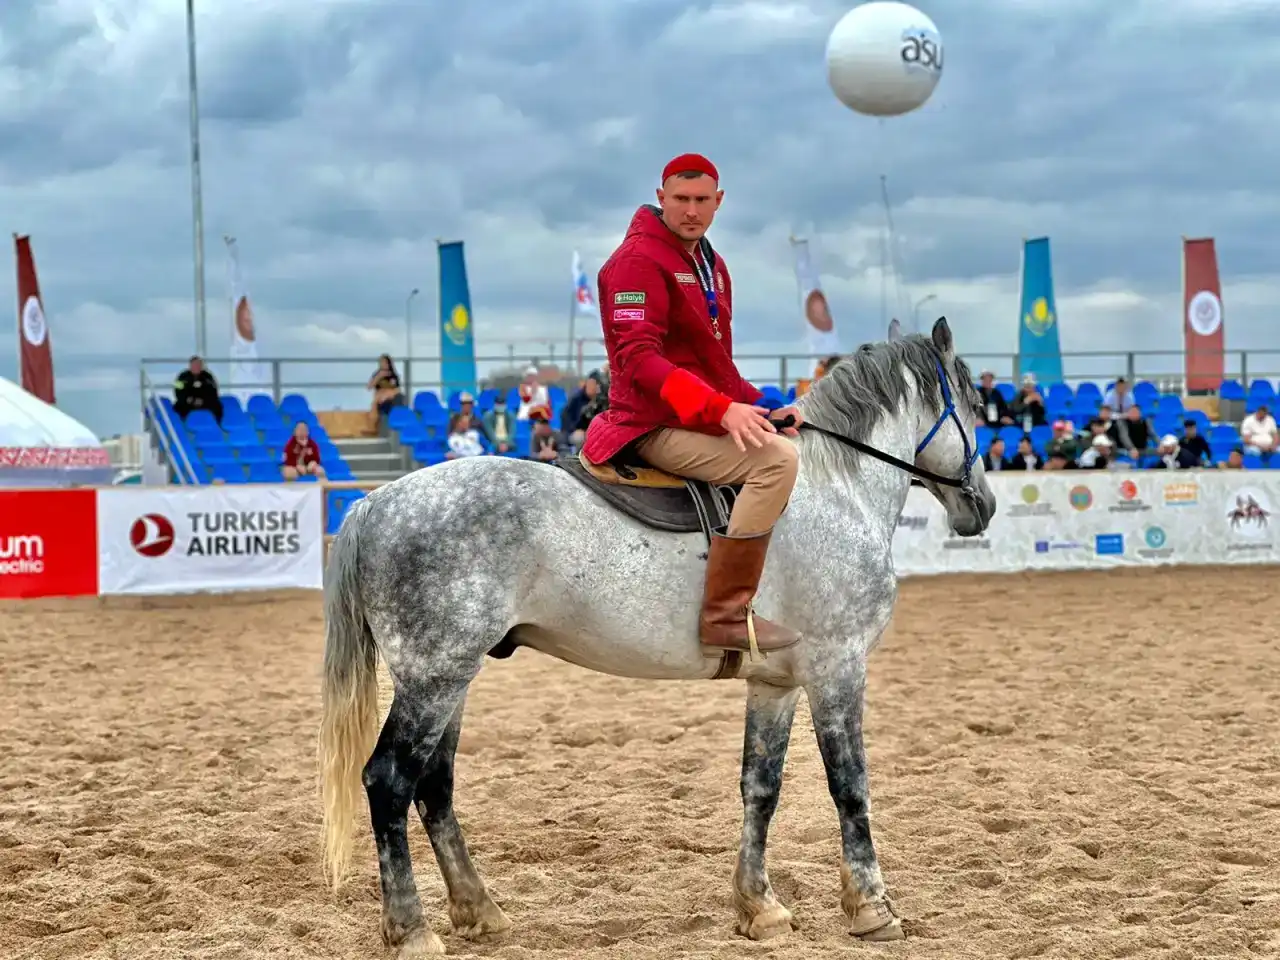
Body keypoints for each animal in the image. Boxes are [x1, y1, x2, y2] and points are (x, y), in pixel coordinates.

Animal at [317, 320, 988, 957]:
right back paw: (412, 930)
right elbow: (850, 786)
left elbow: (760, 787)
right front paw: (872, 908)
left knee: (435, 785)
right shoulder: (838, 669)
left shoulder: (775, 684)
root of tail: (375, 503)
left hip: (450, 678)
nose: (981, 505)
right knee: (389, 782)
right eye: (978, 404)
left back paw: (479, 911)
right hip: (433, 679)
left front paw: (760, 908)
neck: (834, 493)